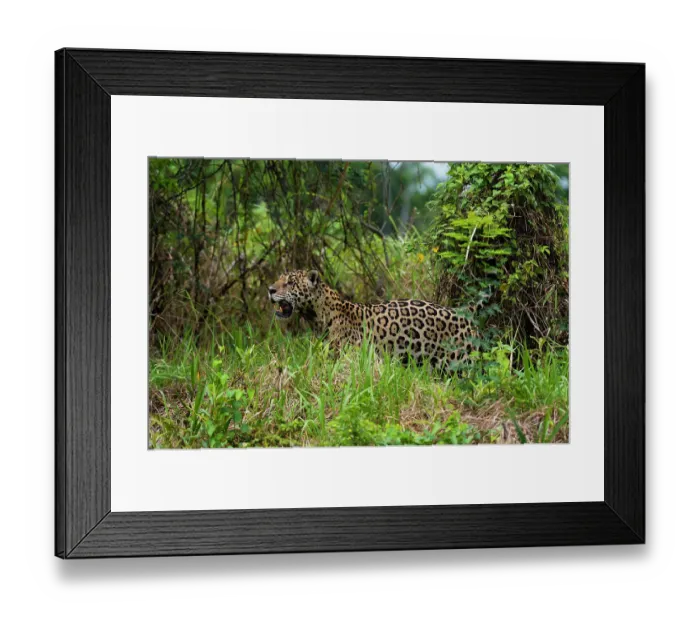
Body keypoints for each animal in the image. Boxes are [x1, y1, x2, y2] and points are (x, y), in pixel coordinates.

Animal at [268, 269, 476, 369]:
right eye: (278, 279)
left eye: (290, 283)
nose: (270, 289)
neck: (316, 316)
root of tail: (467, 316)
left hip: (459, 362)